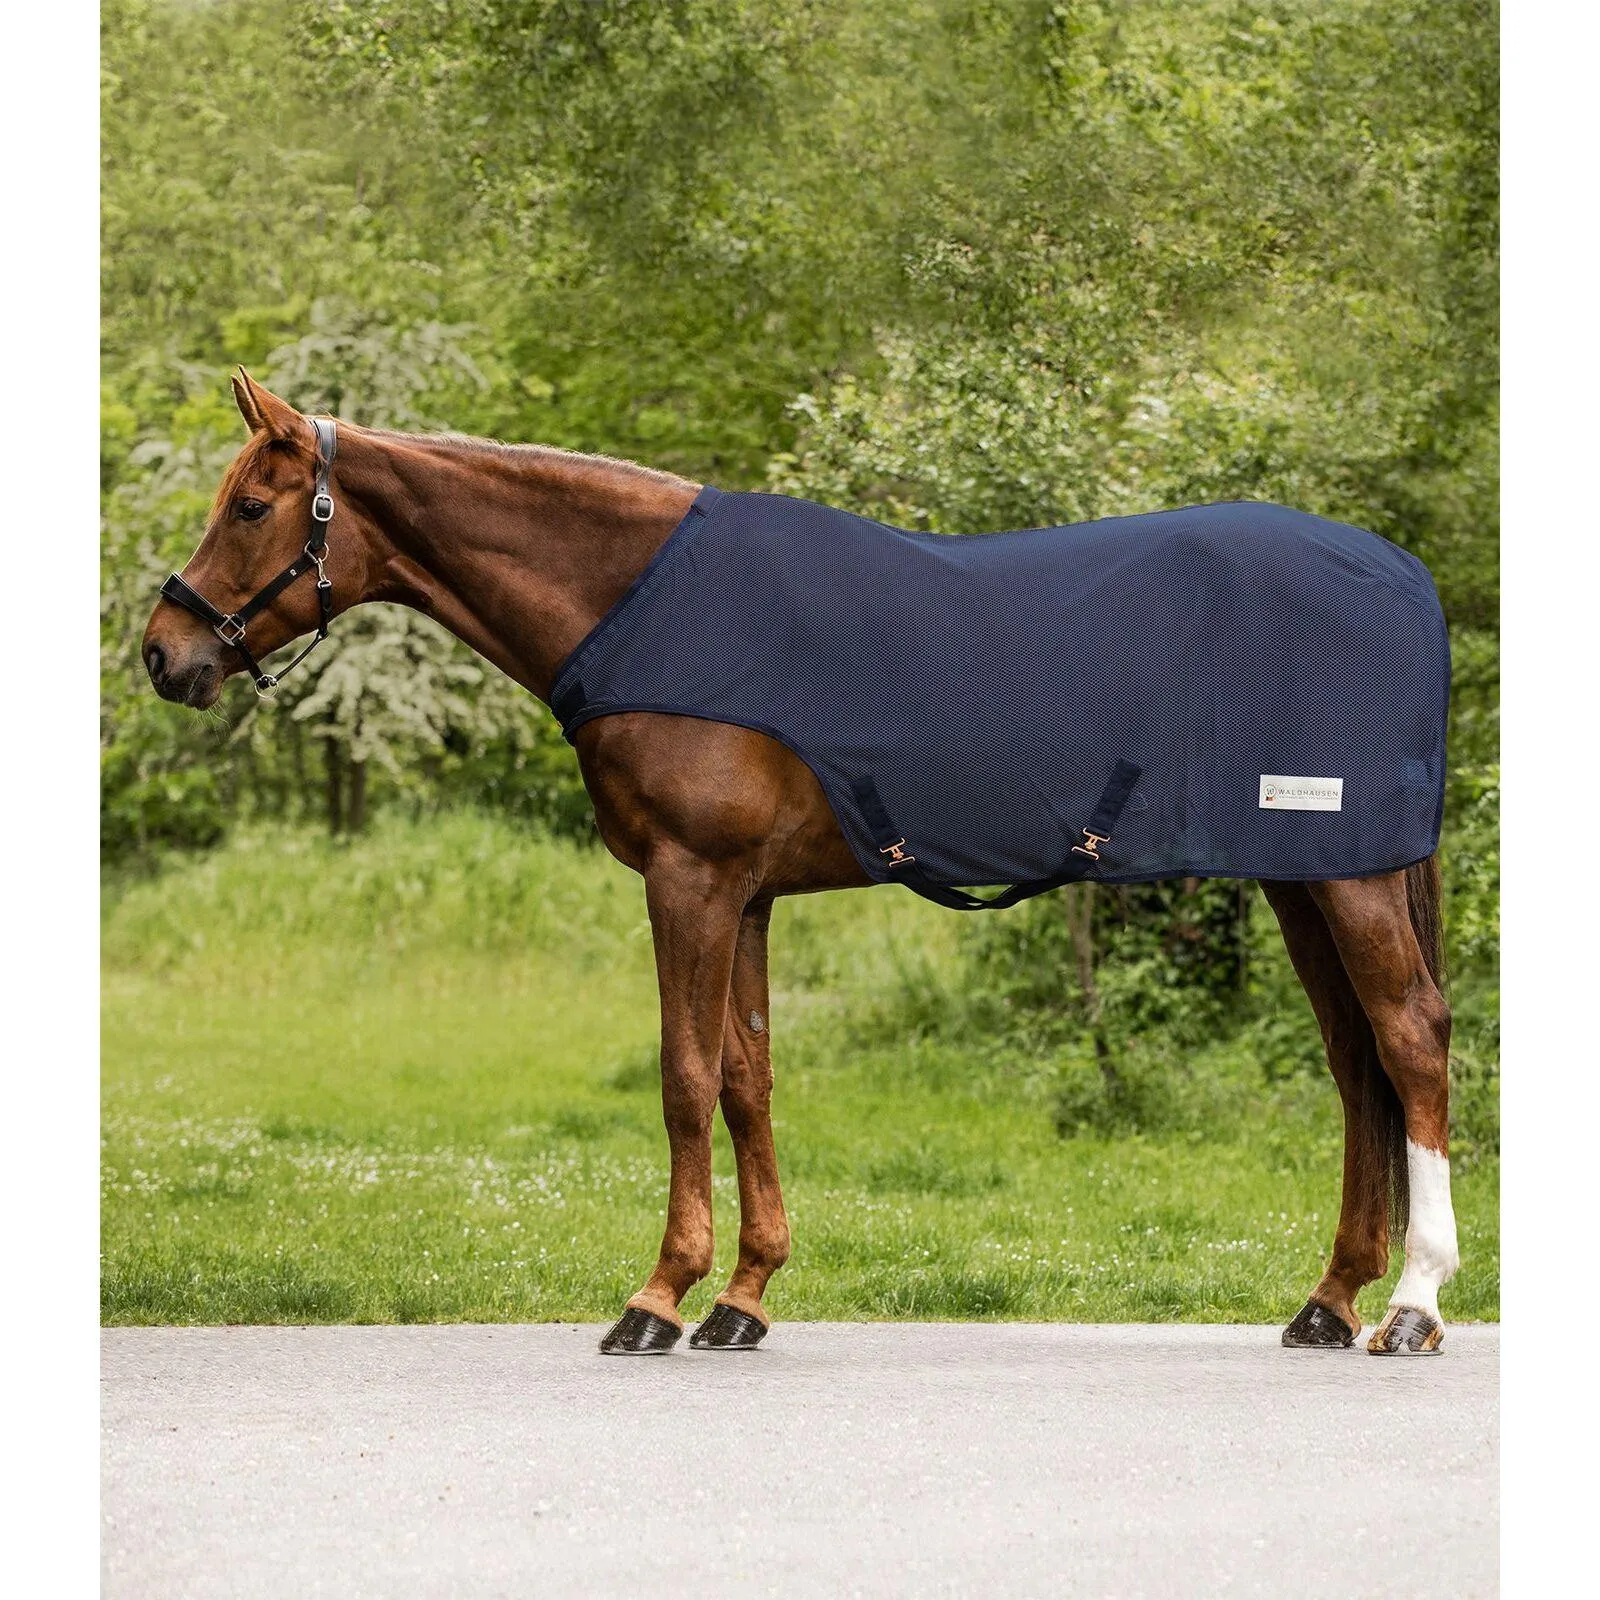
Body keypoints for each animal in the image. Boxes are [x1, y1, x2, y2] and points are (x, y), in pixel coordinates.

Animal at [142, 371, 1460, 1356]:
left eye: (251, 505)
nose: (161, 653)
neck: (643, 607)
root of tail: (1401, 574)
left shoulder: (690, 881)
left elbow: (682, 1076)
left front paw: (657, 1296)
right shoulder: (749, 895)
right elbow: (746, 1078)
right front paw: (743, 1295)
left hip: (1345, 878)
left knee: (1407, 1041)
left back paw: (1410, 1303)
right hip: (1302, 879)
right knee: (1355, 1067)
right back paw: (1327, 1299)